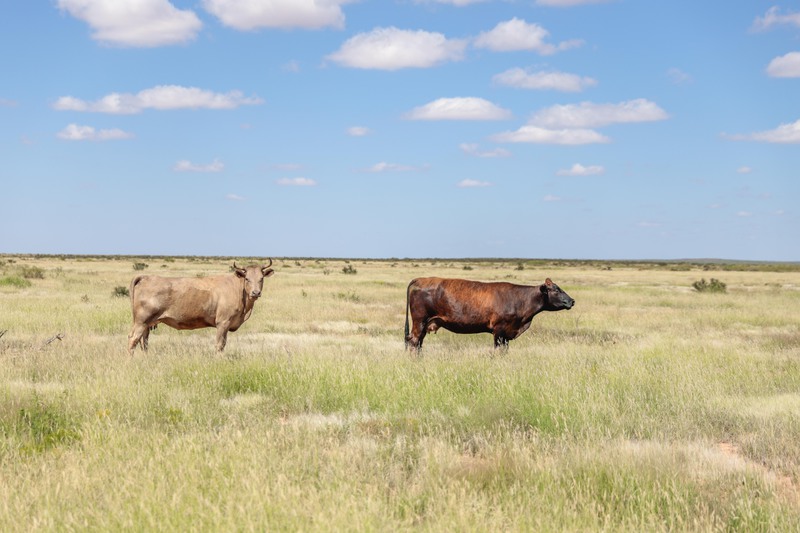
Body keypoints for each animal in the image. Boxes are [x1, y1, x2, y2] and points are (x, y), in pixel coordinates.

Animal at [126, 260, 274, 354]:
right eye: (247, 279)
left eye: (261, 279)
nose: (256, 293)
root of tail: (146, 277)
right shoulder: (223, 323)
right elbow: (220, 345)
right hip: (141, 321)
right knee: (133, 340)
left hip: (147, 323)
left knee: (144, 342)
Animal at [406, 276, 576, 352]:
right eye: (555, 290)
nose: (572, 301)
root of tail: (421, 279)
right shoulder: (499, 331)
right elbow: (498, 350)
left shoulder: (507, 334)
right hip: (419, 321)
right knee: (414, 342)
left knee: (418, 343)